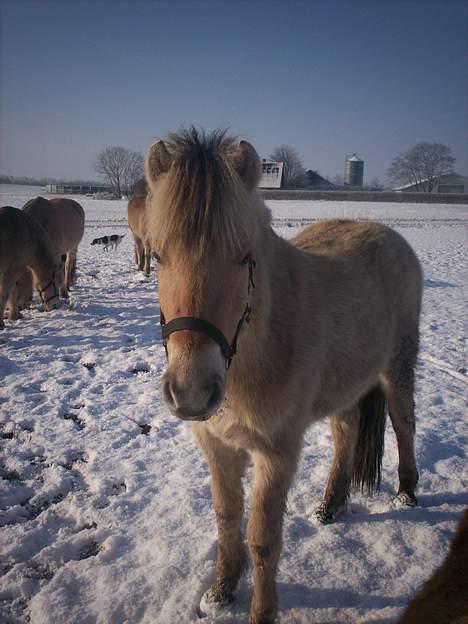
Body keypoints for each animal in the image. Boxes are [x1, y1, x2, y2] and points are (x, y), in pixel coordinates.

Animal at [144, 128, 422, 624]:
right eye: (157, 256)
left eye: (245, 258)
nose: (191, 392)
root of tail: (387, 234)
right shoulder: (218, 446)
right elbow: (226, 517)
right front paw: (221, 590)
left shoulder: (276, 453)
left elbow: (263, 539)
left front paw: (262, 611)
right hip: (346, 383)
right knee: (346, 431)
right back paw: (331, 506)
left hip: (397, 367)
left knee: (403, 421)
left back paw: (406, 493)